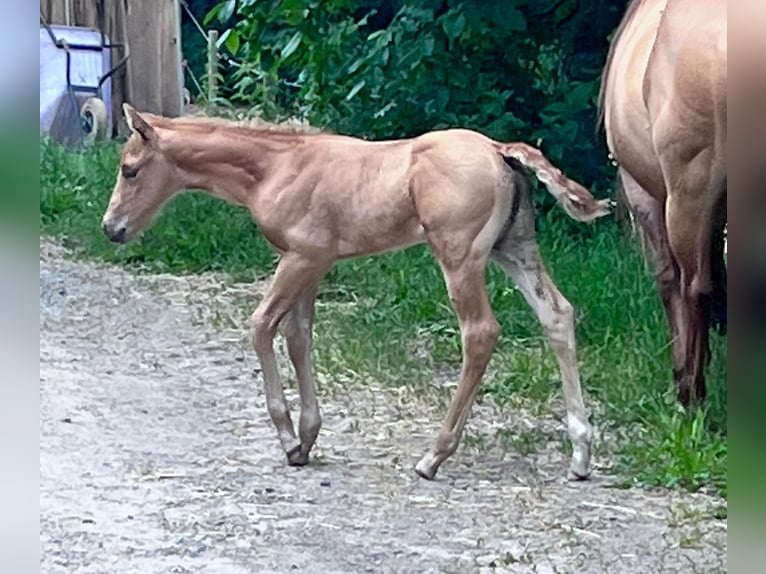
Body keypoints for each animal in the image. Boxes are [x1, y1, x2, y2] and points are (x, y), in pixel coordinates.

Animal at [103, 104, 612, 482]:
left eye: (130, 170)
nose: (111, 228)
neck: (275, 167)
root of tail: (499, 150)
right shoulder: (311, 261)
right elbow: (299, 338)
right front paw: (307, 438)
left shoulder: (301, 258)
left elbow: (261, 325)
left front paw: (288, 436)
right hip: (515, 248)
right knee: (557, 314)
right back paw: (580, 455)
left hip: (460, 256)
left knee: (480, 332)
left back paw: (433, 456)